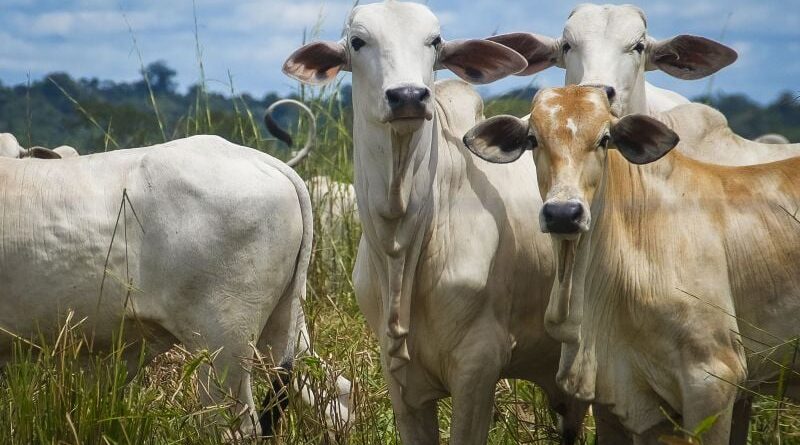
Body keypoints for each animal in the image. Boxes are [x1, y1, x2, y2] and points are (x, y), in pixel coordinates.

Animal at [281, 1, 588, 443]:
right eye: (357, 42)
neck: (403, 241)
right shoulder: (399, 379)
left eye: (435, 41)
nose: (408, 95)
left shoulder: (478, 367)